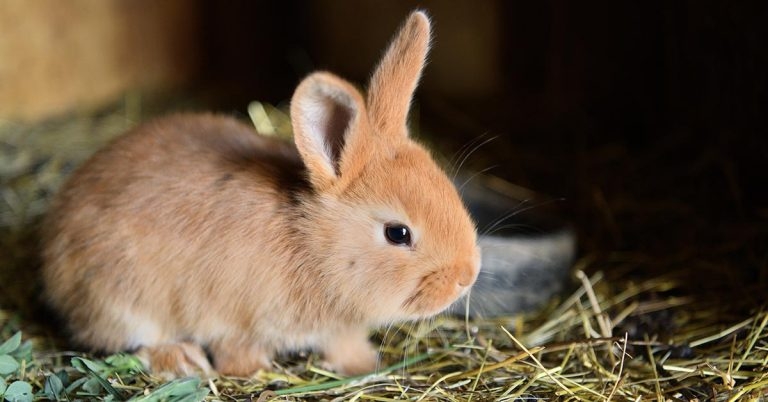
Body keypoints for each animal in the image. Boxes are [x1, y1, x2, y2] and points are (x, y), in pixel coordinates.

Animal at [41, 10, 481, 378]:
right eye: (397, 233)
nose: (466, 277)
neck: (314, 246)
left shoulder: (338, 329)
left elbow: (344, 344)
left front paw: (362, 366)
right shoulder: (231, 320)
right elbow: (236, 348)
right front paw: (249, 372)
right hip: (121, 300)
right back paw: (181, 360)